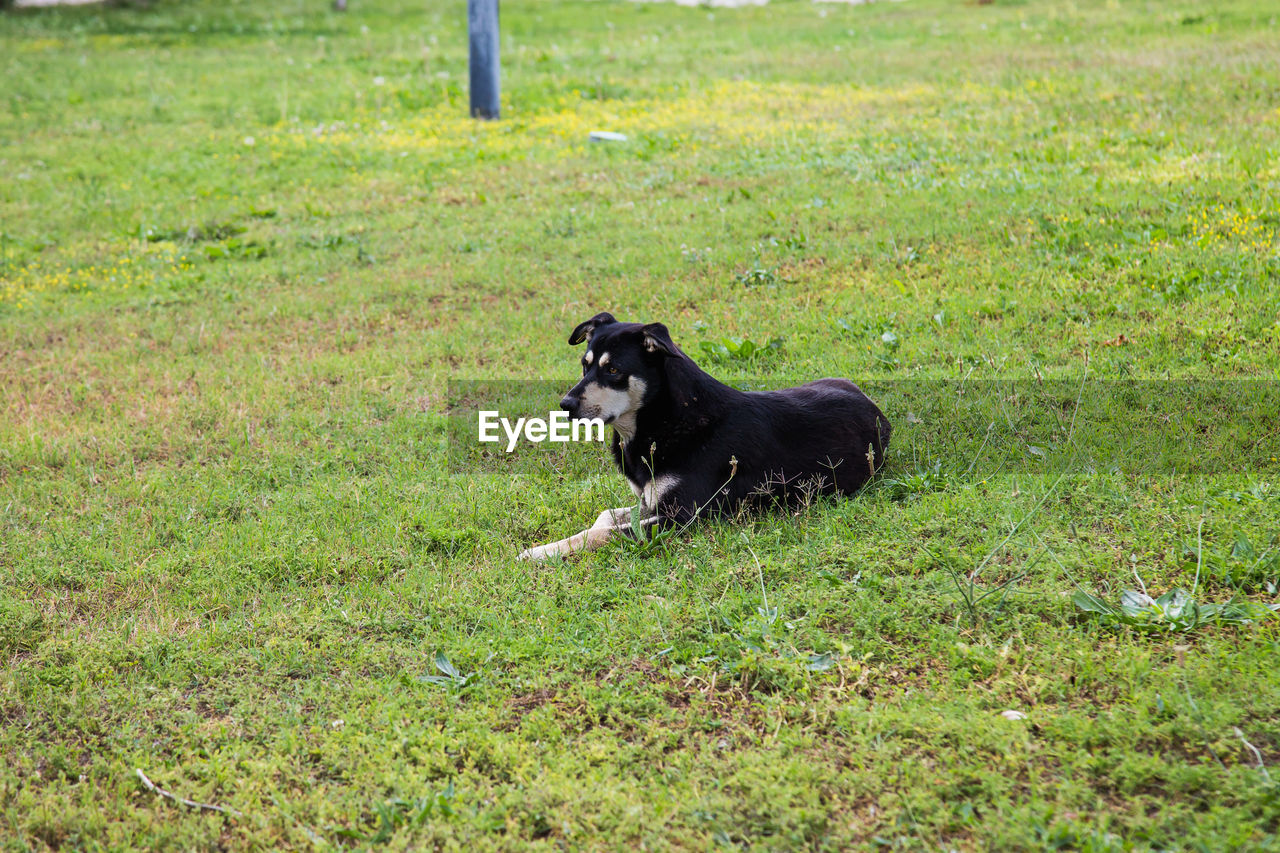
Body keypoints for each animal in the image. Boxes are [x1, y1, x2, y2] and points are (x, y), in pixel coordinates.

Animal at [519, 312, 890, 558]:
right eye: (585, 366)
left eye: (612, 370)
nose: (565, 405)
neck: (663, 419)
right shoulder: (648, 503)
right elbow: (604, 519)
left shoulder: (680, 518)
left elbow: (602, 533)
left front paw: (542, 552)